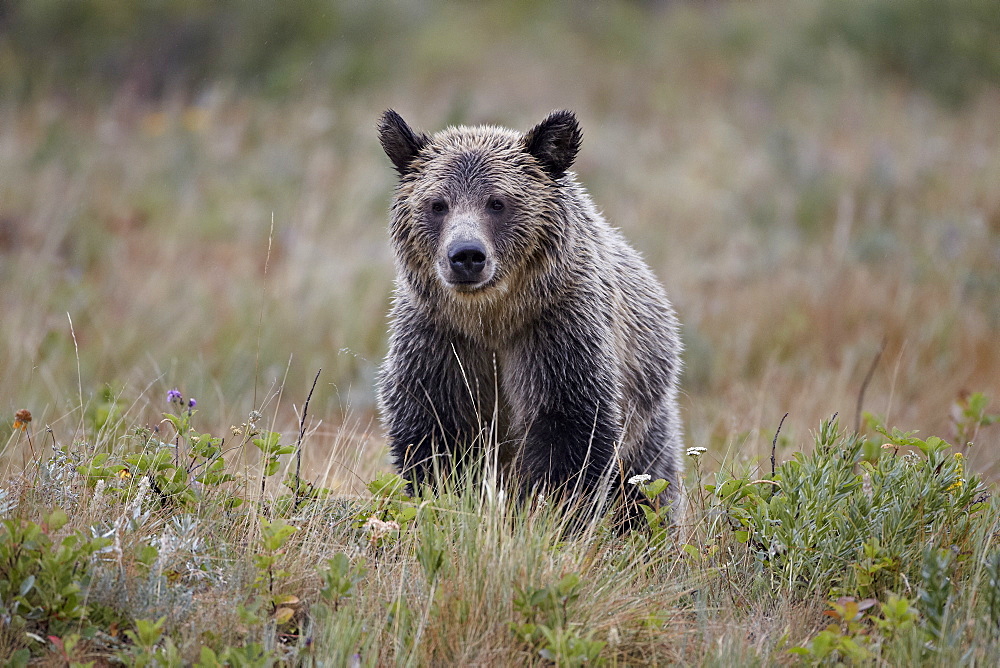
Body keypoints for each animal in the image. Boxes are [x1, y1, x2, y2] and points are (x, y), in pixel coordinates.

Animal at [378, 109, 684, 516]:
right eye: (437, 204)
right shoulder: (438, 341)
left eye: (497, 202)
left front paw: (551, 509)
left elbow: (568, 431)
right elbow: (434, 435)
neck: (492, 318)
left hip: (647, 417)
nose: (466, 255)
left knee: (647, 485)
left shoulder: (556, 331)